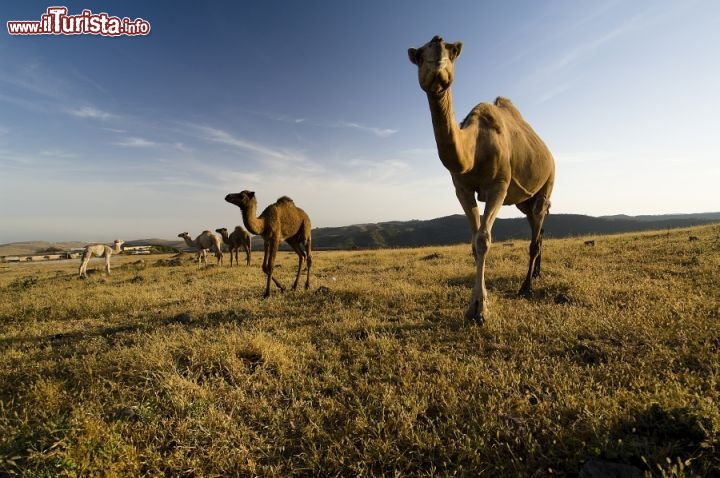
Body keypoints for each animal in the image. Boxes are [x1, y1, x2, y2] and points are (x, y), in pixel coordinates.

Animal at [408, 35, 556, 324]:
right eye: (419, 55)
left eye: (452, 51)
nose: (437, 59)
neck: (474, 148)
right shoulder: (462, 188)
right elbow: (473, 242)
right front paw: (474, 305)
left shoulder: (498, 185)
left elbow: (483, 240)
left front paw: (479, 308)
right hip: (524, 200)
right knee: (538, 226)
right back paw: (536, 274)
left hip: (548, 181)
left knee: (537, 229)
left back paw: (526, 286)